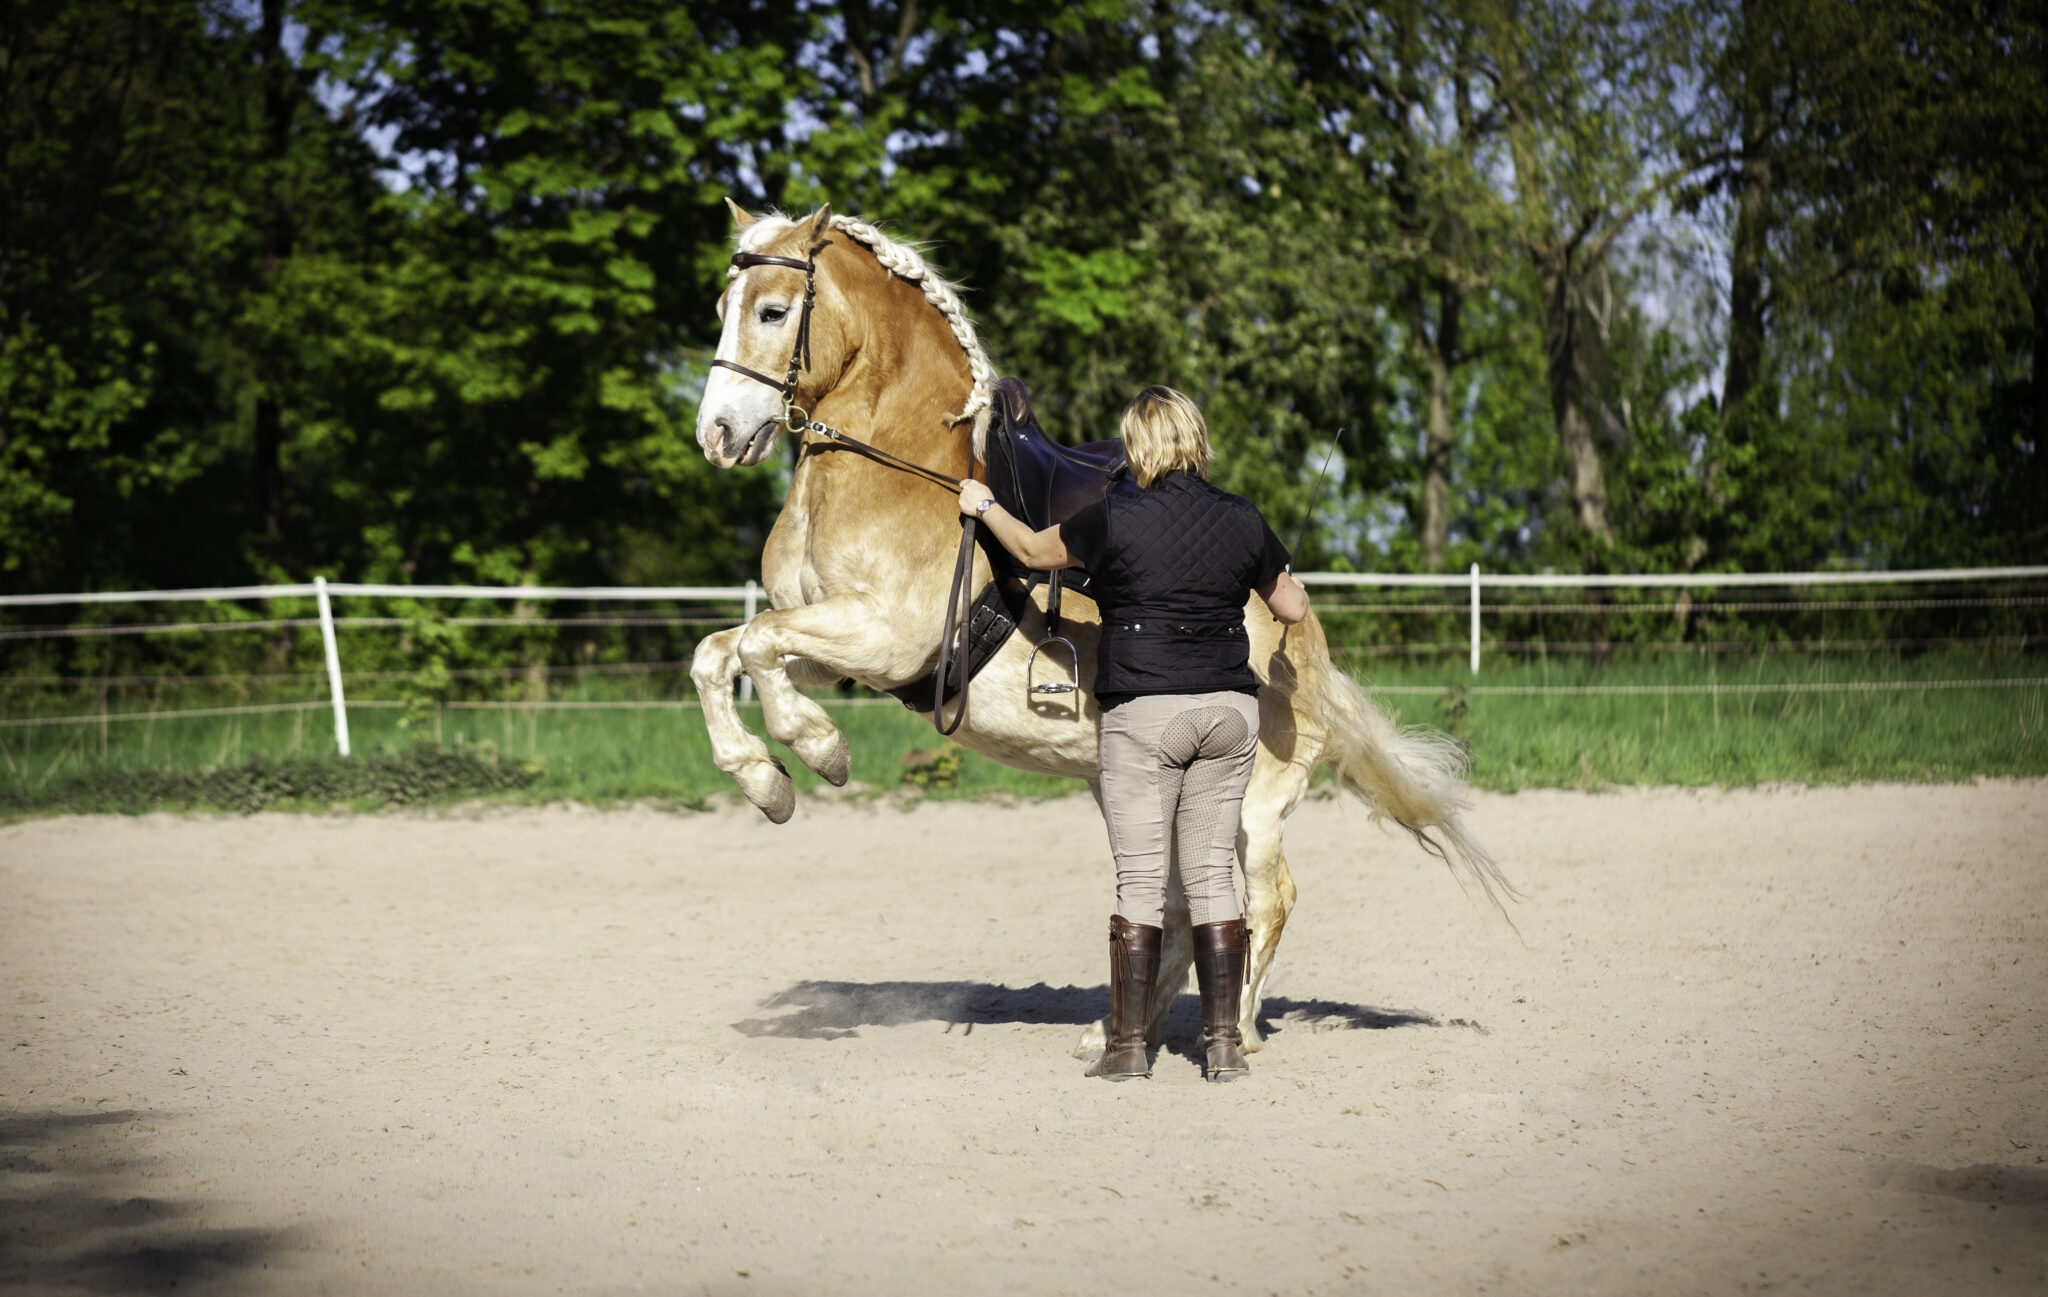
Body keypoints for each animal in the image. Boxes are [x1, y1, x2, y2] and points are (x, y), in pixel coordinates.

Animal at [688, 202, 1507, 1049]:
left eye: (772, 310)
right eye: (721, 307)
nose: (715, 434)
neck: (909, 471)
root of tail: (1305, 642)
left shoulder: (884, 637)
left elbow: (753, 644)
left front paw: (817, 750)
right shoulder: (834, 646)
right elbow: (720, 652)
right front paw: (765, 779)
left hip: (1251, 801)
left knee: (1267, 896)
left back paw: (1239, 1028)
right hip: (1141, 785)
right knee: (1177, 904)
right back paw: (1116, 1032)